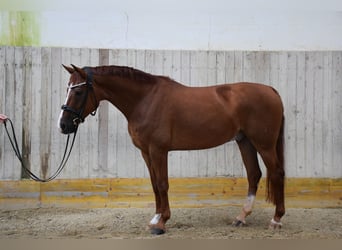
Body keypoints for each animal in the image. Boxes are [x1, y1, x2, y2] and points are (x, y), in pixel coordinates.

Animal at [57, 64, 284, 234]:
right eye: (66, 89)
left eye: (78, 91)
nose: (63, 125)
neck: (145, 99)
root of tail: (272, 90)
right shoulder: (146, 152)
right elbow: (154, 185)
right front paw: (155, 218)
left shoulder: (159, 150)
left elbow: (162, 184)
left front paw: (161, 223)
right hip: (245, 141)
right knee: (254, 174)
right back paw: (241, 217)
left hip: (264, 144)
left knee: (277, 173)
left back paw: (276, 219)